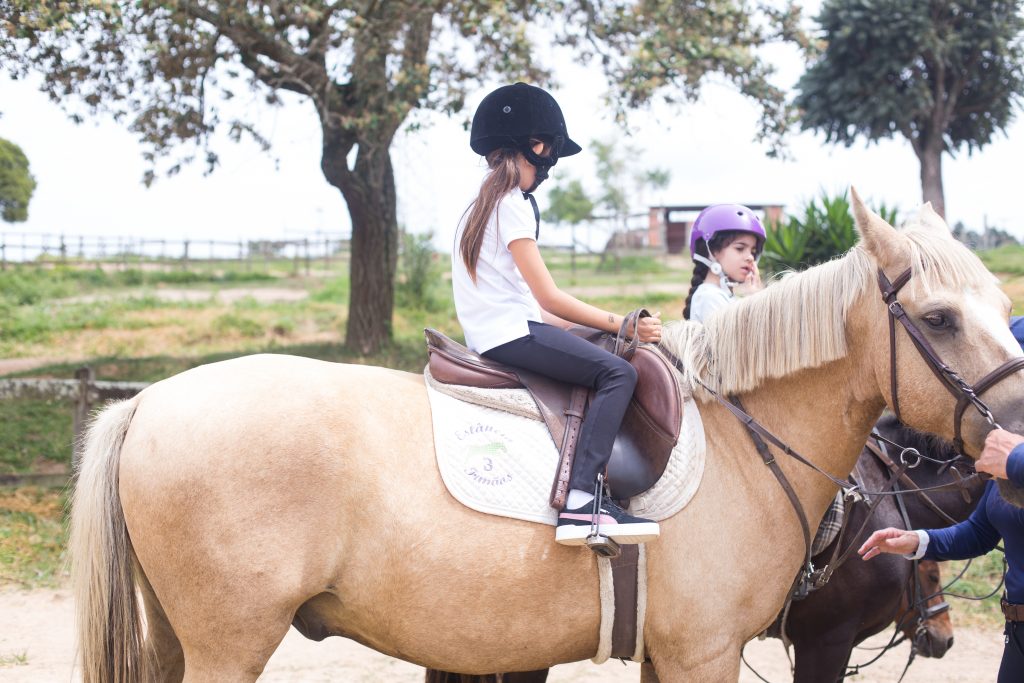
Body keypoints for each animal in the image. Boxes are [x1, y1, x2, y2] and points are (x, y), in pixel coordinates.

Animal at [68, 193, 1019, 683]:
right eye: (941, 317)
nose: (1017, 430)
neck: (743, 440)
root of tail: (145, 404)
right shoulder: (717, 651)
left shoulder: (675, 652)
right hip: (227, 645)